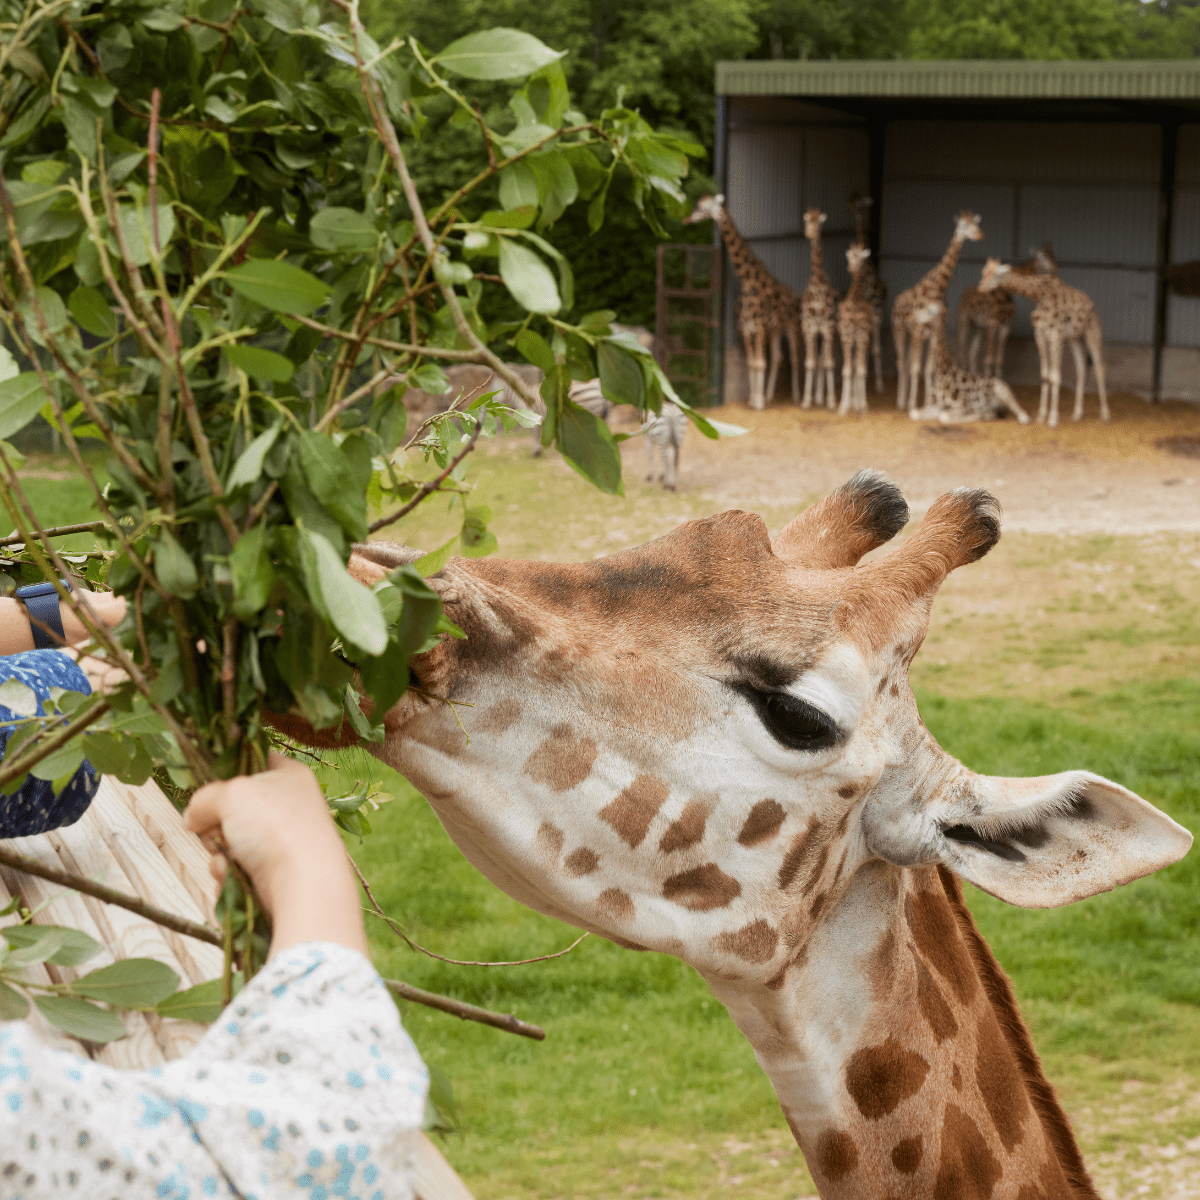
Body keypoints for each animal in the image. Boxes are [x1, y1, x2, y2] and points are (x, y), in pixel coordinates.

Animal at [685, 195, 799, 410]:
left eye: (702, 207)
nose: (686, 219)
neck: (747, 280)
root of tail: (794, 293)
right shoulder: (746, 328)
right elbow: (752, 363)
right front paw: (754, 400)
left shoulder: (759, 327)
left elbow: (760, 362)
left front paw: (758, 404)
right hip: (775, 328)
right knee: (778, 356)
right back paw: (770, 395)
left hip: (790, 325)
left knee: (794, 357)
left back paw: (798, 398)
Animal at [892, 211, 984, 413]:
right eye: (962, 225)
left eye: (975, 223)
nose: (979, 235)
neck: (938, 289)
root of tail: (897, 300)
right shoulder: (918, 328)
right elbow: (916, 367)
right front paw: (912, 404)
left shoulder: (934, 329)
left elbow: (929, 369)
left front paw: (928, 402)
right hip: (900, 330)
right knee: (902, 363)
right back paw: (901, 402)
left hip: (912, 335)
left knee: (907, 362)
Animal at [958, 245, 1058, 379]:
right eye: (1043, 257)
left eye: (1053, 255)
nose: (1056, 269)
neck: (1005, 293)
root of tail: (964, 292)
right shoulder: (992, 323)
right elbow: (989, 357)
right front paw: (988, 377)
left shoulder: (1006, 325)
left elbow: (999, 358)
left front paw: (998, 378)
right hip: (964, 320)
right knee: (962, 347)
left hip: (980, 328)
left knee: (972, 351)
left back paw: (973, 374)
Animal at [979, 257, 1110, 427]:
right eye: (983, 272)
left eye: (995, 275)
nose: (979, 289)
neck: (1039, 295)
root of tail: (1092, 305)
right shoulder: (1040, 334)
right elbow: (1045, 376)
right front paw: (1041, 416)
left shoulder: (1056, 335)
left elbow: (1055, 376)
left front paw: (1053, 419)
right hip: (1075, 337)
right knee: (1081, 367)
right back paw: (1076, 415)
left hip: (1092, 331)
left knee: (1099, 366)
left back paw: (1105, 415)